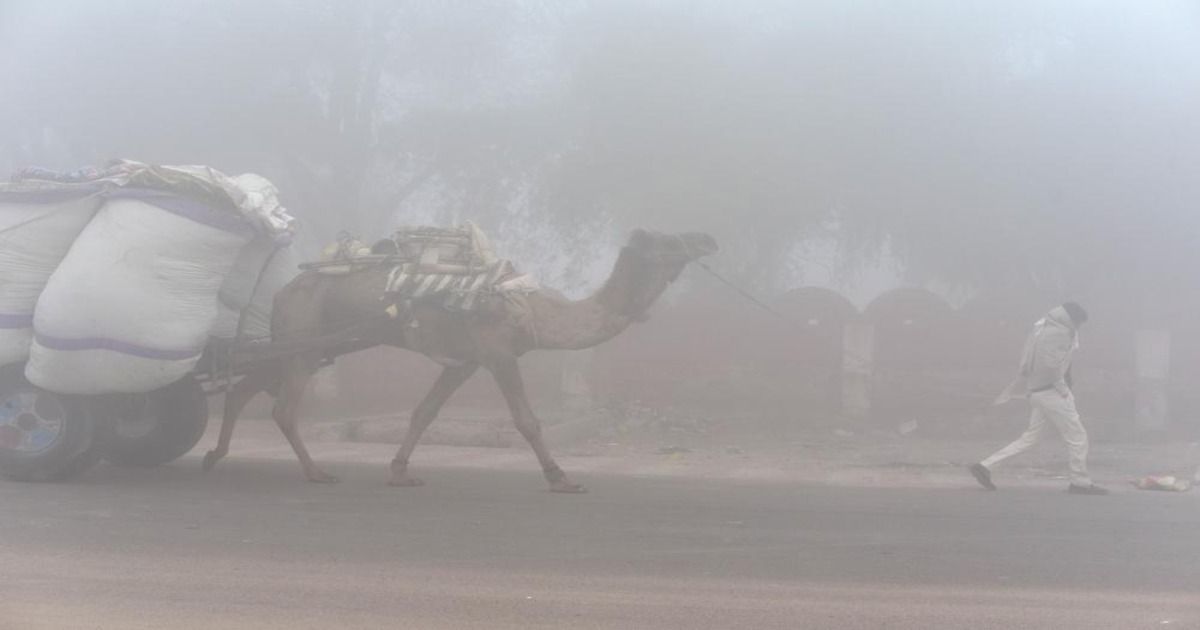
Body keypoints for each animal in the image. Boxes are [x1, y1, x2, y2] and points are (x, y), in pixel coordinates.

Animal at [201, 228, 715, 494]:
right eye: (668, 240)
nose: (706, 238)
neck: (532, 308)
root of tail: (282, 291)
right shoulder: (497, 352)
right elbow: (527, 420)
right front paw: (560, 477)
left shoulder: (462, 361)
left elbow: (424, 412)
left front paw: (400, 471)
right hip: (304, 340)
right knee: (282, 407)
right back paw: (316, 472)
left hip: (300, 343)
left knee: (244, 385)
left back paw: (215, 454)